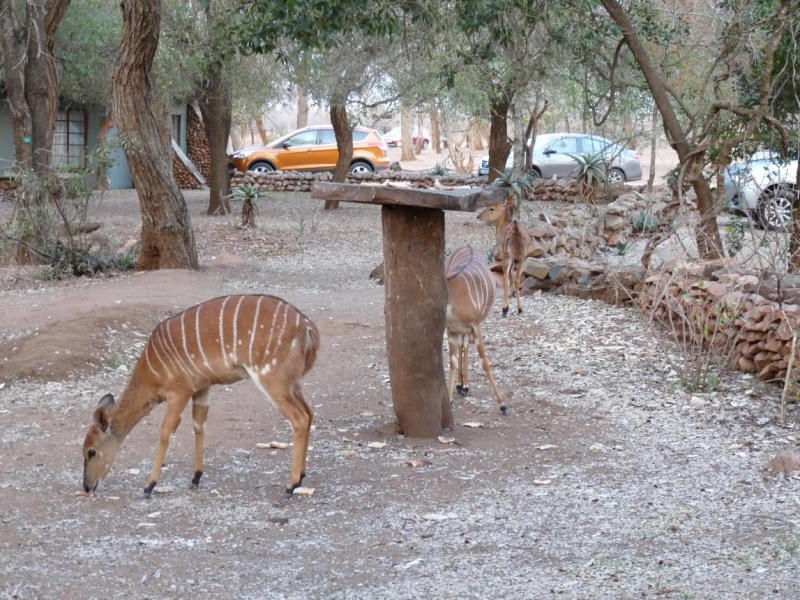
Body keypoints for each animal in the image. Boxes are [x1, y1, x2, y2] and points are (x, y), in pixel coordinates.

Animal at [81, 294, 318, 496]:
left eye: (90, 452)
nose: (86, 486)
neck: (151, 373)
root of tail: (308, 328)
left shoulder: (180, 390)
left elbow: (166, 432)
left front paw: (149, 485)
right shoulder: (202, 387)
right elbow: (198, 424)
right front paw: (195, 477)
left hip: (271, 378)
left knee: (299, 418)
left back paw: (291, 485)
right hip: (291, 382)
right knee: (309, 412)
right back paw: (301, 475)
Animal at [444, 246, 506, 414]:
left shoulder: (475, 326)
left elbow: (485, 362)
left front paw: (503, 405)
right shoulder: (451, 329)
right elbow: (452, 362)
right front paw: (449, 399)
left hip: (471, 328)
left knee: (465, 346)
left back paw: (464, 386)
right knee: (463, 346)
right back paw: (461, 386)